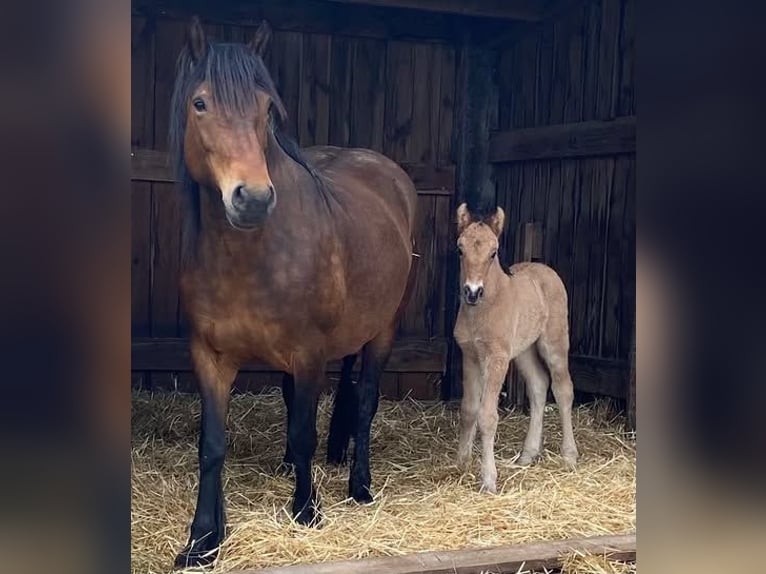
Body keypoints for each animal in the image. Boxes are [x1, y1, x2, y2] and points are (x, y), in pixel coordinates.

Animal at [168, 18, 418, 568]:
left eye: (266, 109)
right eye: (200, 103)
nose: (253, 199)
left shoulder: (309, 353)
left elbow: (307, 432)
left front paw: (307, 511)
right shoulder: (209, 356)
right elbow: (212, 445)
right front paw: (203, 539)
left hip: (382, 331)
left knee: (365, 402)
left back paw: (359, 487)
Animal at [452, 204, 578, 494]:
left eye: (493, 252)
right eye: (460, 249)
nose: (472, 292)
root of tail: (546, 269)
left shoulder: (496, 358)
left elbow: (487, 416)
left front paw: (488, 480)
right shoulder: (470, 356)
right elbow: (468, 410)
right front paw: (461, 463)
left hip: (554, 342)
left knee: (563, 389)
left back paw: (569, 455)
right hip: (524, 351)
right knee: (539, 385)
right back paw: (528, 454)